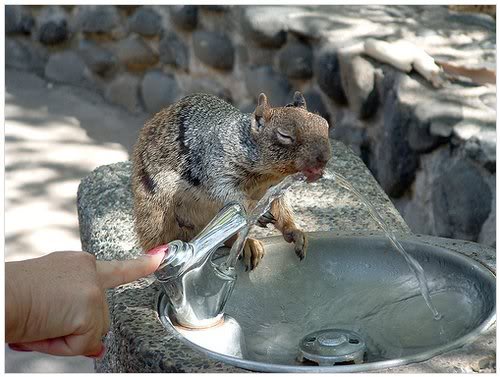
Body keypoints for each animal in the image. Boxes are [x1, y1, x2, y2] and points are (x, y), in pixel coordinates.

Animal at [132, 90, 332, 268]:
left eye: (325, 124)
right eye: (285, 135)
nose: (325, 158)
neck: (267, 175)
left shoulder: (276, 189)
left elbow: (282, 209)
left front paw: (296, 232)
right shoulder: (216, 169)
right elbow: (226, 192)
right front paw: (255, 209)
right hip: (157, 216)